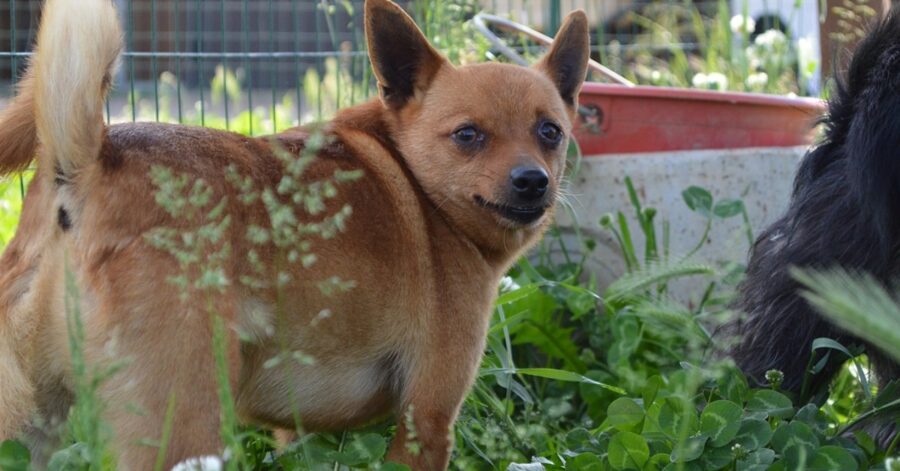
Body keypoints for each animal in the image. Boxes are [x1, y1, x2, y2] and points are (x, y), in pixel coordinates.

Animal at [0, 0, 592, 466]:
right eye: (468, 136)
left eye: (550, 132)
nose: (532, 181)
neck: (421, 190)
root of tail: (85, 167)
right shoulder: (426, 416)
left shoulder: (296, 427)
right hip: (184, 434)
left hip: (33, 429)